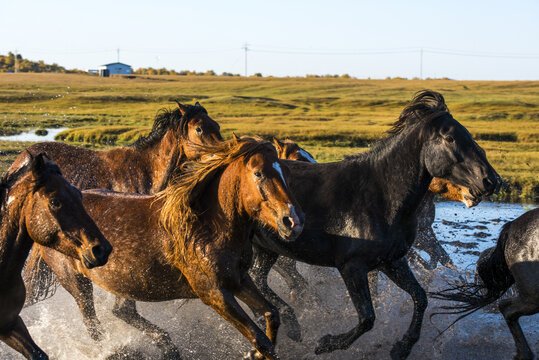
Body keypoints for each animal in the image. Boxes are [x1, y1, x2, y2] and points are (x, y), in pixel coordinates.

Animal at [26, 137, 304, 360]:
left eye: (285, 173)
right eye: (258, 174)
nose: (293, 222)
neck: (205, 227)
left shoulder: (239, 280)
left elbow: (271, 314)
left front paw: (261, 348)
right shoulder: (214, 293)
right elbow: (261, 339)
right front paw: (256, 351)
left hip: (122, 282)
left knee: (122, 312)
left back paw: (168, 347)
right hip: (76, 282)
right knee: (93, 325)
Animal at [249, 90, 502, 358]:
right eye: (451, 138)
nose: (492, 181)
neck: (381, 195)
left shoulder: (392, 262)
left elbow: (420, 297)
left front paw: (402, 346)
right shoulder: (352, 267)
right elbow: (367, 318)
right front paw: (326, 343)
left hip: (266, 250)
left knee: (257, 279)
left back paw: (286, 323)